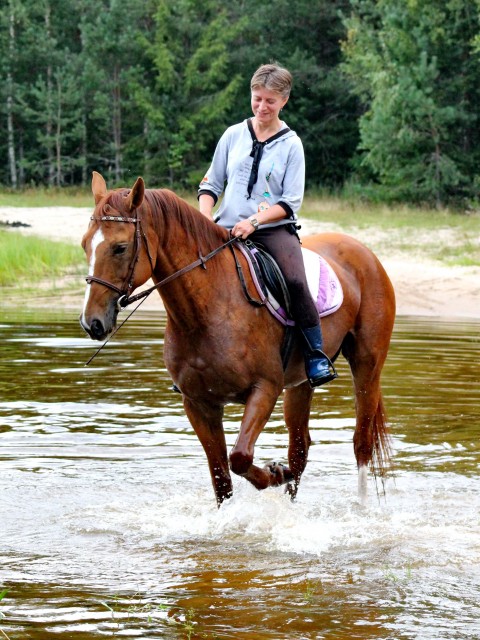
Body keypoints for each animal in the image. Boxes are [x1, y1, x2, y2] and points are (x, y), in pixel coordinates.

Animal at [80, 172, 396, 508]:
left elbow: (240, 456)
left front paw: (274, 473)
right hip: (300, 384)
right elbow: (221, 475)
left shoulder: (265, 389)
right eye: (85, 245)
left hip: (366, 363)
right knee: (300, 448)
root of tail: (363, 251)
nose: (92, 323)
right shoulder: (198, 403)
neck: (208, 308)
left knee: (362, 441)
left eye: (120, 247)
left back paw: (361, 507)